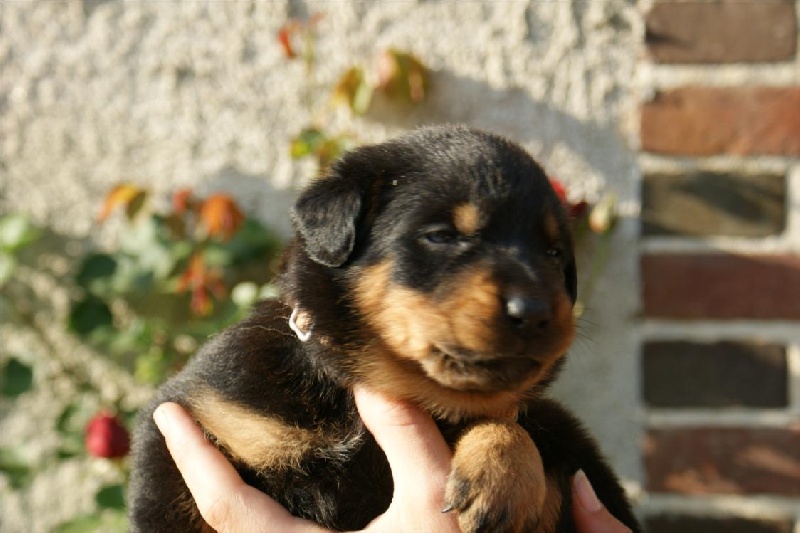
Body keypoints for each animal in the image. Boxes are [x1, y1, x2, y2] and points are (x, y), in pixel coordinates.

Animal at [131, 125, 644, 532]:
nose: (535, 310)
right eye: (441, 236)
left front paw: (500, 474)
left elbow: (518, 425)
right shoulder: (196, 427)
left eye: (555, 255)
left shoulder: (574, 461)